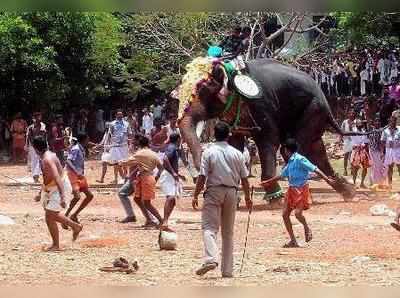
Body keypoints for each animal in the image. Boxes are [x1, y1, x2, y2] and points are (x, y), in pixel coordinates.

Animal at [177, 57, 356, 200]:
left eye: (202, 89)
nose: (202, 157)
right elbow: (235, 142)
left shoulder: (261, 104)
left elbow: (268, 140)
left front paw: (275, 200)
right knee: (315, 148)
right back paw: (348, 192)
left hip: (313, 109)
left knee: (297, 149)